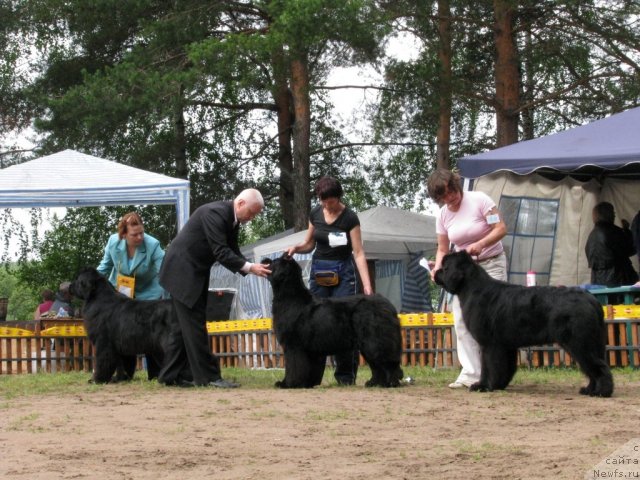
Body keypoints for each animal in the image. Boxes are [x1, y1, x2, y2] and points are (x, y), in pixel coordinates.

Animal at [262, 253, 402, 388]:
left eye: (274, 261)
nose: (264, 260)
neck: (290, 296)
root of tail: (388, 305)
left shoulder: (293, 345)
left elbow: (293, 366)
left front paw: (288, 384)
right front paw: (305, 384)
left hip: (375, 341)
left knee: (387, 363)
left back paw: (390, 383)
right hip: (367, 344)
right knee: (377, 366)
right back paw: (375, 383)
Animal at [432, 251, 612, 398]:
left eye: (445, 268)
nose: (435, 271)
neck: (472, 288)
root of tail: (591, 299)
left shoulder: (489, 344)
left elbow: (488, 366)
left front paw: (482, 386)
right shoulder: (506, 346)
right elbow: (505, 368)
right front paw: (498, 385)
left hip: (580, 343)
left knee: (598, 367)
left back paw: (601, 392)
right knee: (592, 368)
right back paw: (588, 390)